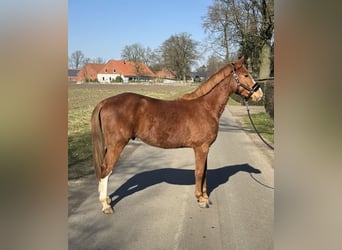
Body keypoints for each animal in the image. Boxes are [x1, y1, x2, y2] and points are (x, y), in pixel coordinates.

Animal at [90, 56, 262, 213]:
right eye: (246, 75)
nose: (259, 94)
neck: (206, 107)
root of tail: (105, 102)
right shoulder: (201, 148)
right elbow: (199, 172)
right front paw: (200, 199)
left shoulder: (205, 148)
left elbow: (205, 172)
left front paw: (205, 197)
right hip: (116, 145)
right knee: (106, 169)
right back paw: (106, 205)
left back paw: (107, 199)